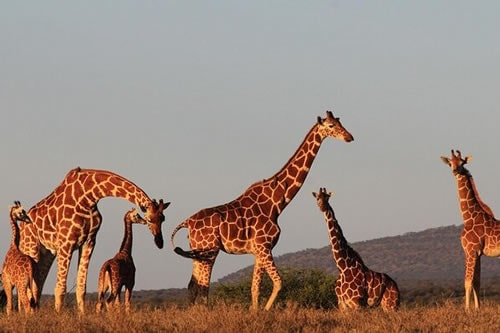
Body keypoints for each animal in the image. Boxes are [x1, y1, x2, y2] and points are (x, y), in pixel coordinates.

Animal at [18, 167, 170, 312]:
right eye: (149, 219)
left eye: (163, 218)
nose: (160, 242)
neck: (89, 196)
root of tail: (22, 226)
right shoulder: (66, 244)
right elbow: (60, 288)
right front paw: (58, 316)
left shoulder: (89, 241)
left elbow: (81, 287)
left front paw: (82, 316)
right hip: (31, 247)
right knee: (29, 288)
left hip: (48, 253)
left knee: (38, 285)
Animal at [172, 111, 356, 308]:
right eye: (330, 126)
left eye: (340, 122)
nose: (349, 137)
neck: (277, 203)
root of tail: (187, 222)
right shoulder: (264, 246)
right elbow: (278, 282)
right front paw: (266, 310)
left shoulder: (258, 251)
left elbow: (255, 287)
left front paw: (255, 311)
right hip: (209, 251)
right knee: (203, 286)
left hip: (198, 252)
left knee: (193, 285)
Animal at [442, 149, 500, 310]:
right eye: (450, 163)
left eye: (462, 163)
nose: (455, 171)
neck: (468, 217)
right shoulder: (478, 253)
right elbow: (476, 283)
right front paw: (477, 309)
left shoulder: (470, 251)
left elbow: (467, 282)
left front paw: (467, 310)